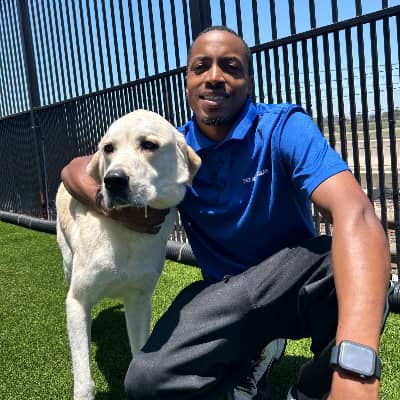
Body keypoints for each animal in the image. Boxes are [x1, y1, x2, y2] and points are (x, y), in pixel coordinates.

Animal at [56, 110, 201, 400]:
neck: (128, 229)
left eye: (149, 145)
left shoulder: (138, 301)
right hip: (67, 264)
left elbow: (139, 352)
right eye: (108, 148)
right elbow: (84, 378)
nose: (113, 180)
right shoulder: (77, 301)